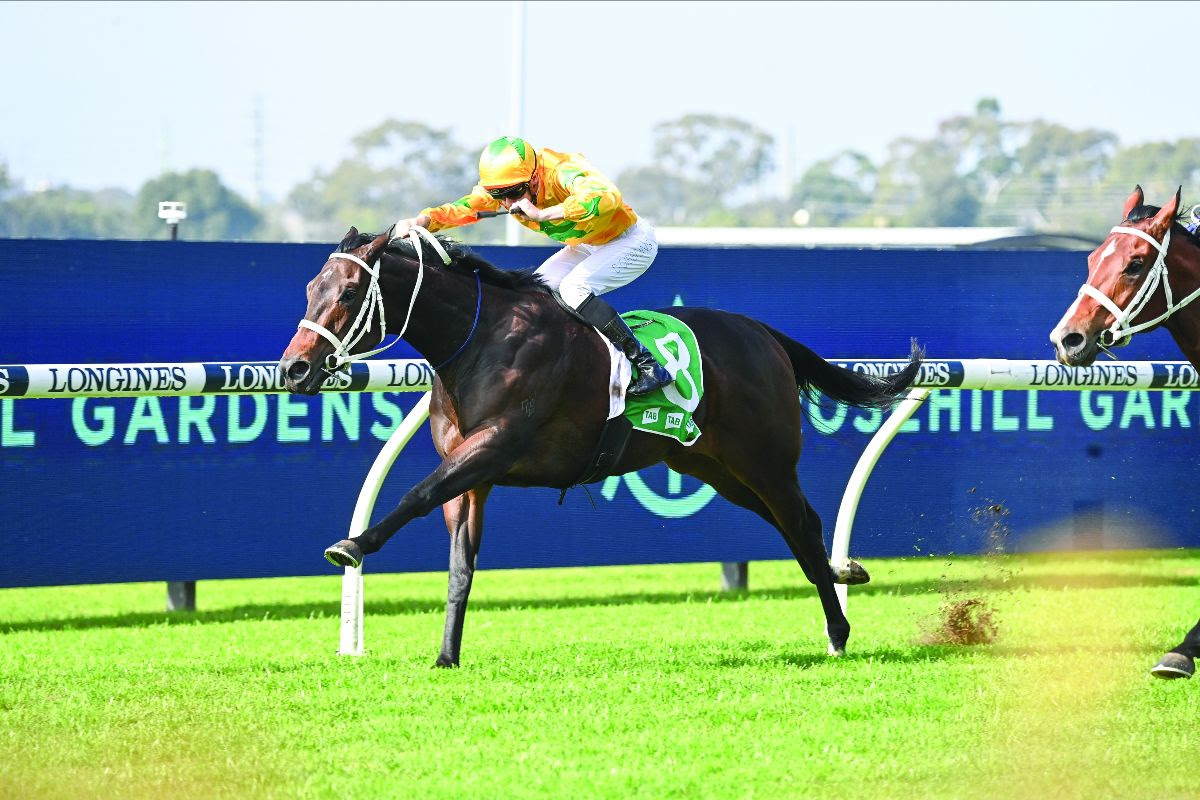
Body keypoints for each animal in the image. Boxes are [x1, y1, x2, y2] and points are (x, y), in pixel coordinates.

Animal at [279, 226, 923, 667]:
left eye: (350, 292)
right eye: (311, 289)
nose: (293, 370)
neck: (480, 341)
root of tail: (762, 332)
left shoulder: (493, 447)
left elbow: (414, 493)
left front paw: (351, 545)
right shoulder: (473, 475)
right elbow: (461, 565)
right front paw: (446, 656)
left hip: (765, 461)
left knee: (802, 525)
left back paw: (838, 630)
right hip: (716, 468)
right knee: (795, 526)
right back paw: (842, 578)